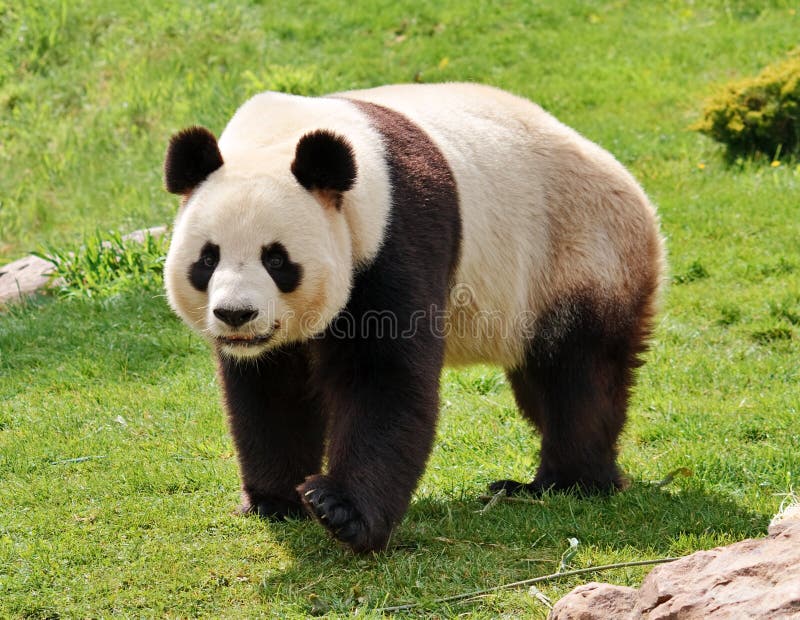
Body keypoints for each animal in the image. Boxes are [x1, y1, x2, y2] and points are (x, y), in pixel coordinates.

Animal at [163, 82, 665, 553]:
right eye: (207, 259)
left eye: (277, 259)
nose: (235, 315)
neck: (282, 136)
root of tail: (639, 197)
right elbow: (273, 389)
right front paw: (275, 500)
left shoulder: (394, 233)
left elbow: (384, 375)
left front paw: (339, 509)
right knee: (540, 382)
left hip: (576, 251)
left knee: (578, 375)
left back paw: (570, 482)